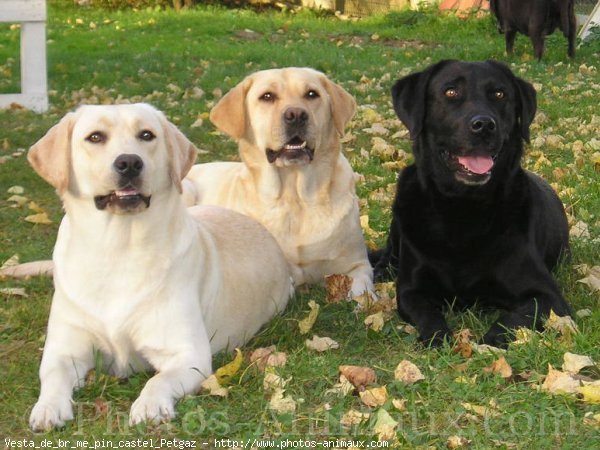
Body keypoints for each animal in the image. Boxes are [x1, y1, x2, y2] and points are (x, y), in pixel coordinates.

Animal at [27, 103, 292, 430]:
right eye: (95, 137)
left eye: (146, 135)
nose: (129, 162)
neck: (117, 248)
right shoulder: (63, 351)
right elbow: (52, 377)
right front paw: (48, 408)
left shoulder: (188, 354)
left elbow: (158, 380)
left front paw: (150, 405)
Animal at [180, 67, 372, 298]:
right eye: (267, 96)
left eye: (311, 94)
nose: (296, 115)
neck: (294, 198)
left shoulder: (358, 264)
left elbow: (362, 291)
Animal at [370, 59, 572, 348]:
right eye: (450, 92)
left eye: (499, 94)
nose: (484, 125)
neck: (462, 209)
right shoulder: (411, 291)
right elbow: (427, 313)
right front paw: (437, 338)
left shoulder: (548, 296)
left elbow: (512, 319)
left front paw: (489, 343)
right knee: (387, 255)